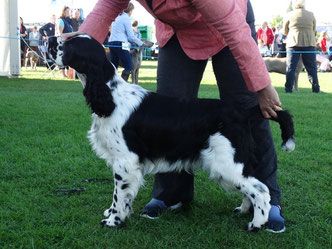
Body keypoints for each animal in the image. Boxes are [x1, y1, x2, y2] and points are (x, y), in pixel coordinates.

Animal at [48, 34, 294, 231]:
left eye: (69, 45)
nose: (50, 39)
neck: (111, 95)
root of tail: (242, 112)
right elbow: (122, 196)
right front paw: (113, 213)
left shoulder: (125, 161)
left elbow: (119, 194)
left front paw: (114, 220)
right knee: (252, 188)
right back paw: (243, 210)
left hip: (226, 164)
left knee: (261, 190)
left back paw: (256, 223)